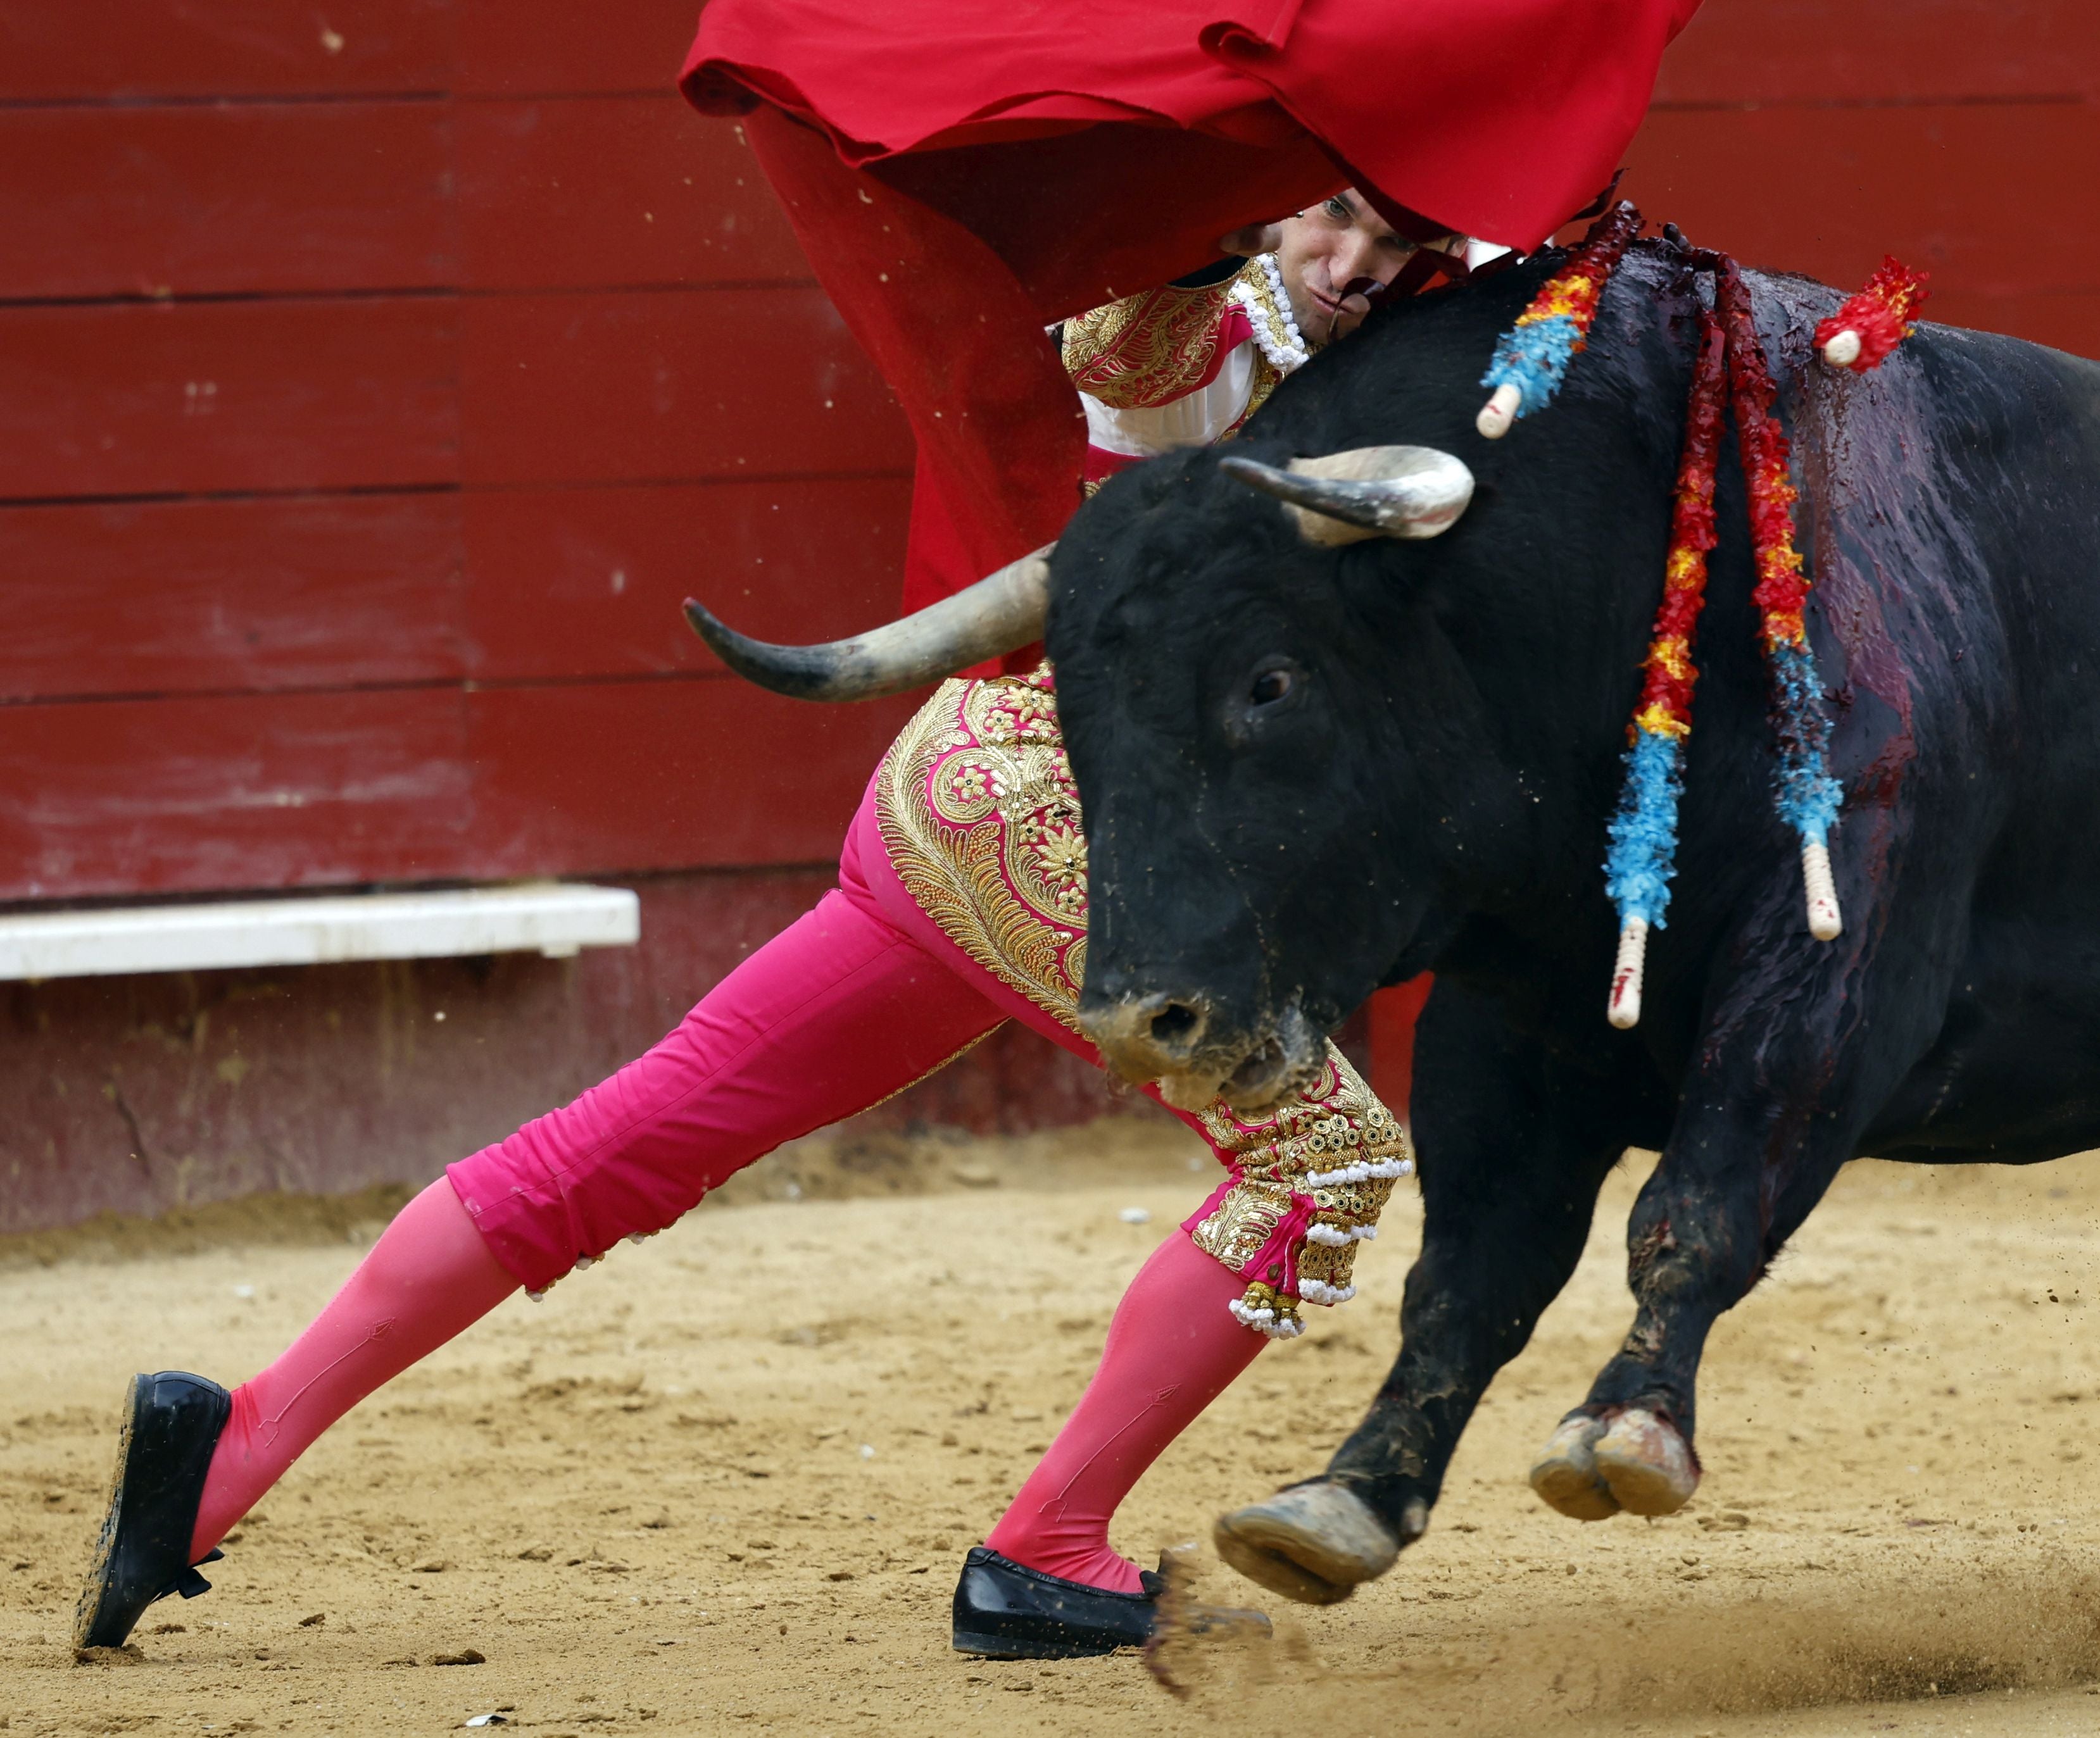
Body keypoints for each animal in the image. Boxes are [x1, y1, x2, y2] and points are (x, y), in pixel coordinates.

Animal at [697, 237, 2100, 1612]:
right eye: (1072, 707)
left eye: (1270, 680)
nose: (1144, 1024)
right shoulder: (1509, 1023)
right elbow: (1471, 1270)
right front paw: (1346, 1497)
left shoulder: (1832, 964)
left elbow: (1695, 1197)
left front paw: (1627, 1427)